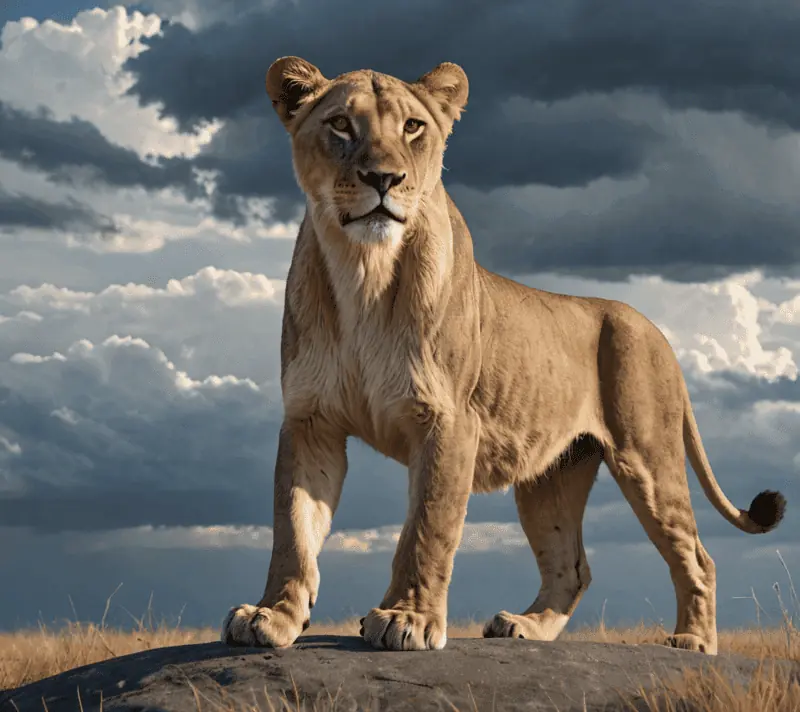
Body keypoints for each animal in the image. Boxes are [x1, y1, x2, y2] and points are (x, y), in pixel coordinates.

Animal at [220, 56, 786, 656]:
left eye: (413, 127)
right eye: (341, 125)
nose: (385, 179)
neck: (363, 272)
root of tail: (656, 330)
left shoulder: (448, 421)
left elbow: (427, 527)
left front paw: (407, 618)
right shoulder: (311, 421)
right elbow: (292, 527)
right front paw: (272, 614)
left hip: (647, 457)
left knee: (697, 556)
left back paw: (692, 641)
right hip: (551, 477)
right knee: (572, 566)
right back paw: (526, 626)